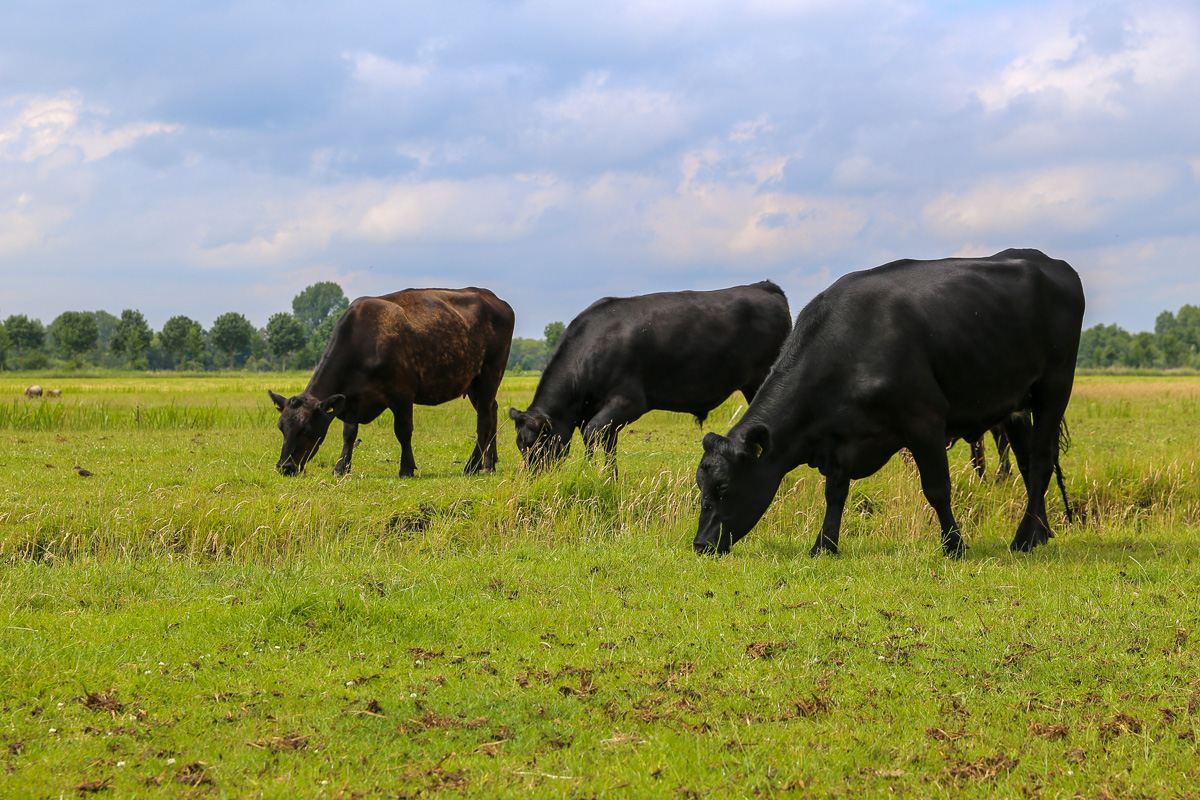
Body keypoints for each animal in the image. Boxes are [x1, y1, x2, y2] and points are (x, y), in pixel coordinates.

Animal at [270, 287, 513, 474]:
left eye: (306, 428)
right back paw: (488, 464)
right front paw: (341, 467)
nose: (284, 467)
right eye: (281, 427)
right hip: (473, 383)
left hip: (490, 374)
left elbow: (403, 431)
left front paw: (406, 468)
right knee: (492, 411)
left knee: (484, 420)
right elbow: (349, 433)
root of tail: (493, 297)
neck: (364, 342)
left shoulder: (402, 393)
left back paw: (472, 466)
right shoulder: (352, 398)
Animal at [511, 281, 792, 470]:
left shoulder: (628, 402)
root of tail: (765, 286)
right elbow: (605, 445)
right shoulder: (599, 412)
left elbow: (591, 434)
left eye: (537, 445)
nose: (534, 479)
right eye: (520, 446)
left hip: (762, 381)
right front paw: (602, 478)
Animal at [696, 248, 1089, 556]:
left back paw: (1023, 539)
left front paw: (954, 546)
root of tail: (1052, 262)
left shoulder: (924, 420)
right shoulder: (839, 439)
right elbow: (834, 493)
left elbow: (937, 489)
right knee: (1028, 465)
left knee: (1041, 461)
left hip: (1055, 386)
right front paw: (824, 546)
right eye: (701, 485)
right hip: (1016, 403)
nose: (700, 544)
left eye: (724, 486)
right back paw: (1039, 533)